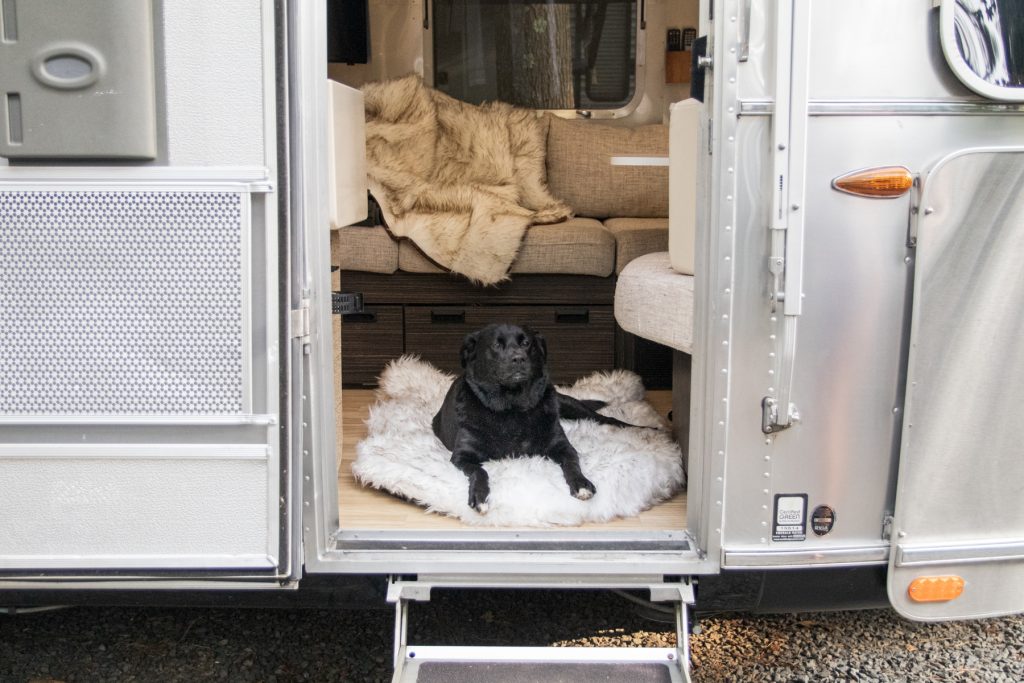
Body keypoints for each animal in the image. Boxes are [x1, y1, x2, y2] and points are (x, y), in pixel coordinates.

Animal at [432, 325, 638, 511]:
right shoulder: (462, 456)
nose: (518, 358)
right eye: (496, 345)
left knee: (606, 418)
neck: (512, 406)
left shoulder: (562, 445)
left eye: (526, 343)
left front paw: (581, 484)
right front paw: (480, 496)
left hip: (569, 404)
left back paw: (641, 429)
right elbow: (479, 470)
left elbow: (572, 463)